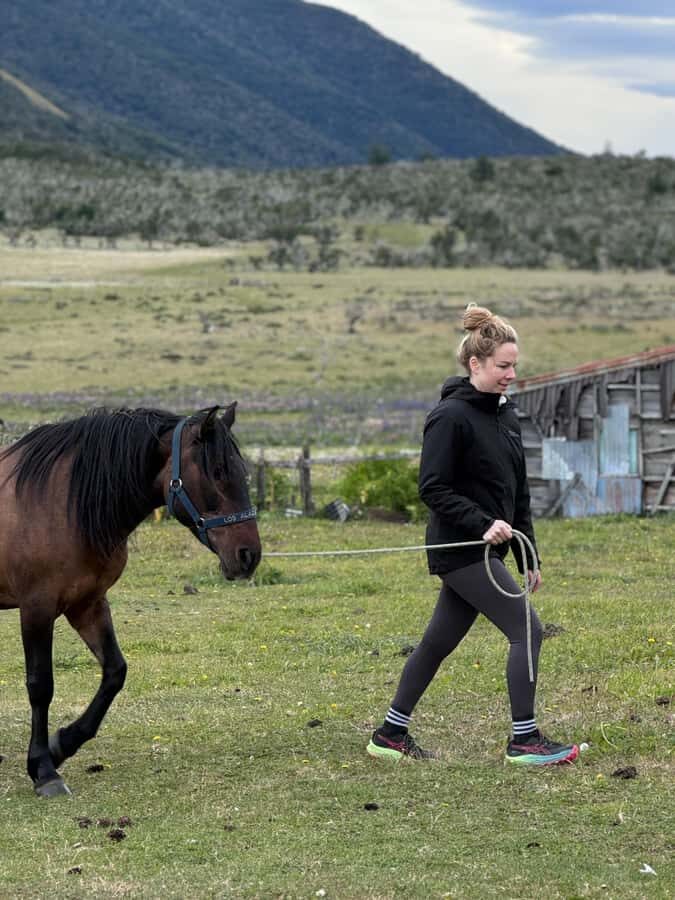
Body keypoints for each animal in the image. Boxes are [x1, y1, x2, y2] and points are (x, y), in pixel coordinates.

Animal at [0, 403, 261, 797]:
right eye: (217, 471)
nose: (249, 556)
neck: (60, 502)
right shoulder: (37, 608)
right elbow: (40, 685)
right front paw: (44, 769)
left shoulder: (87, 604)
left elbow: (115, 672)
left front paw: (63, 744)